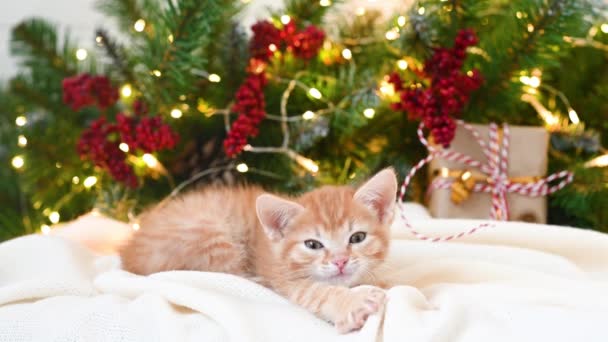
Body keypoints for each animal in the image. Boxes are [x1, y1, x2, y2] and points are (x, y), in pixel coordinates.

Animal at [120, 168, 400, 334]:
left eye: (358, 237)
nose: (341, 261)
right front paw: (352, 303)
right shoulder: (282, 277)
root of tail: (129, 251)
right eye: (313, 244)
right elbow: (314, 292)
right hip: (211, 233)